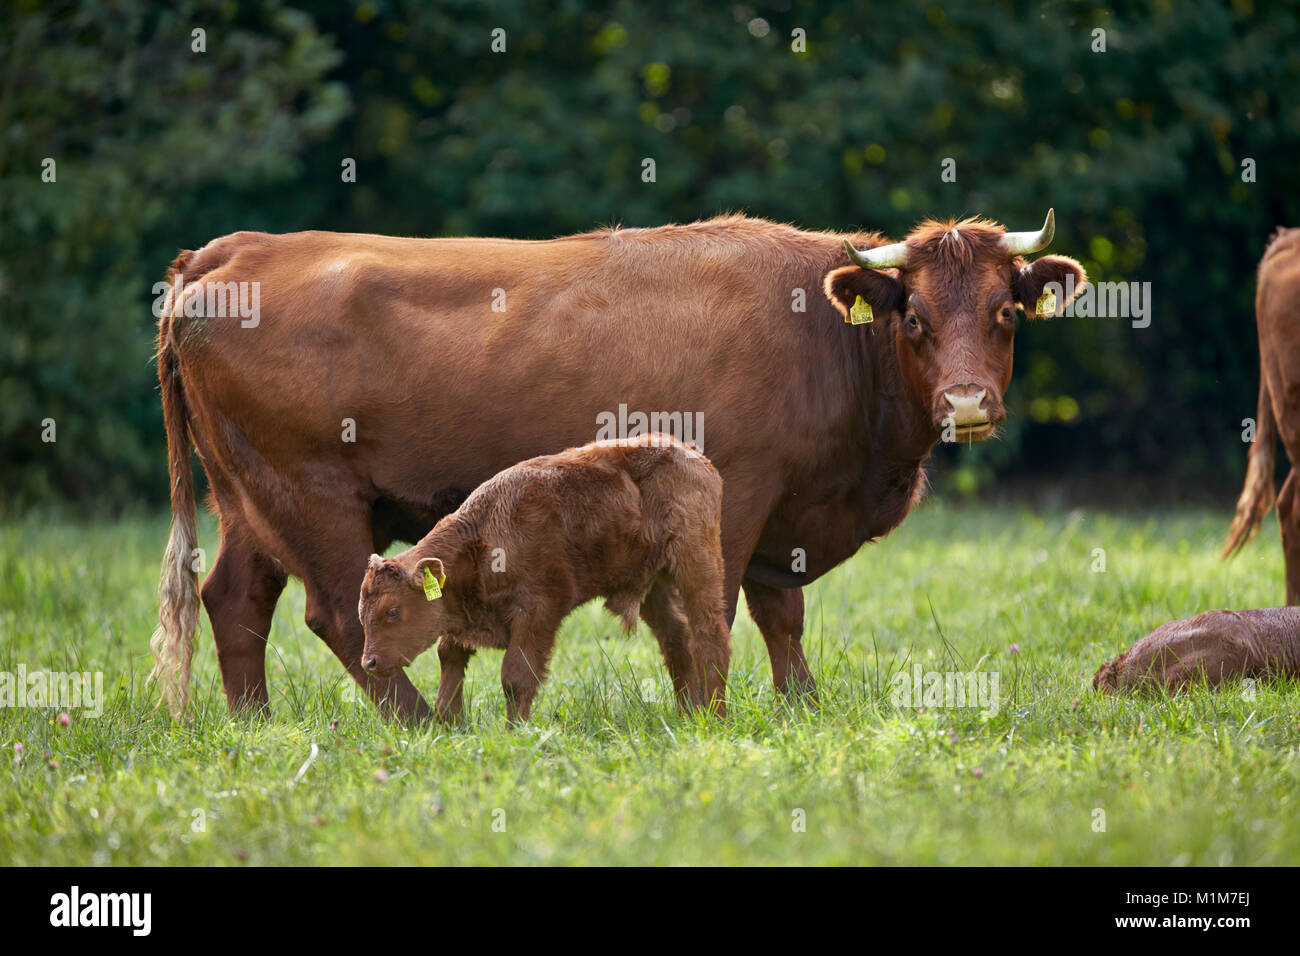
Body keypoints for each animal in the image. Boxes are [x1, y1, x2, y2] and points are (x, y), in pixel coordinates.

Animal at [356, 429, 733, 723]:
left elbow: (516, 677)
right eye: (363, 615)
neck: (484, 537)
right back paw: (688, 714)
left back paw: (714, 718)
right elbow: (450, 654)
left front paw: (514, 732)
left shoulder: (537, 612)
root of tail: (691, 454)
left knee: (709, 634)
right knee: (676, 639)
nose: (369, 662)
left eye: (393, 611)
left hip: (696, 563)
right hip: (652, 585)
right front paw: (449, 722)